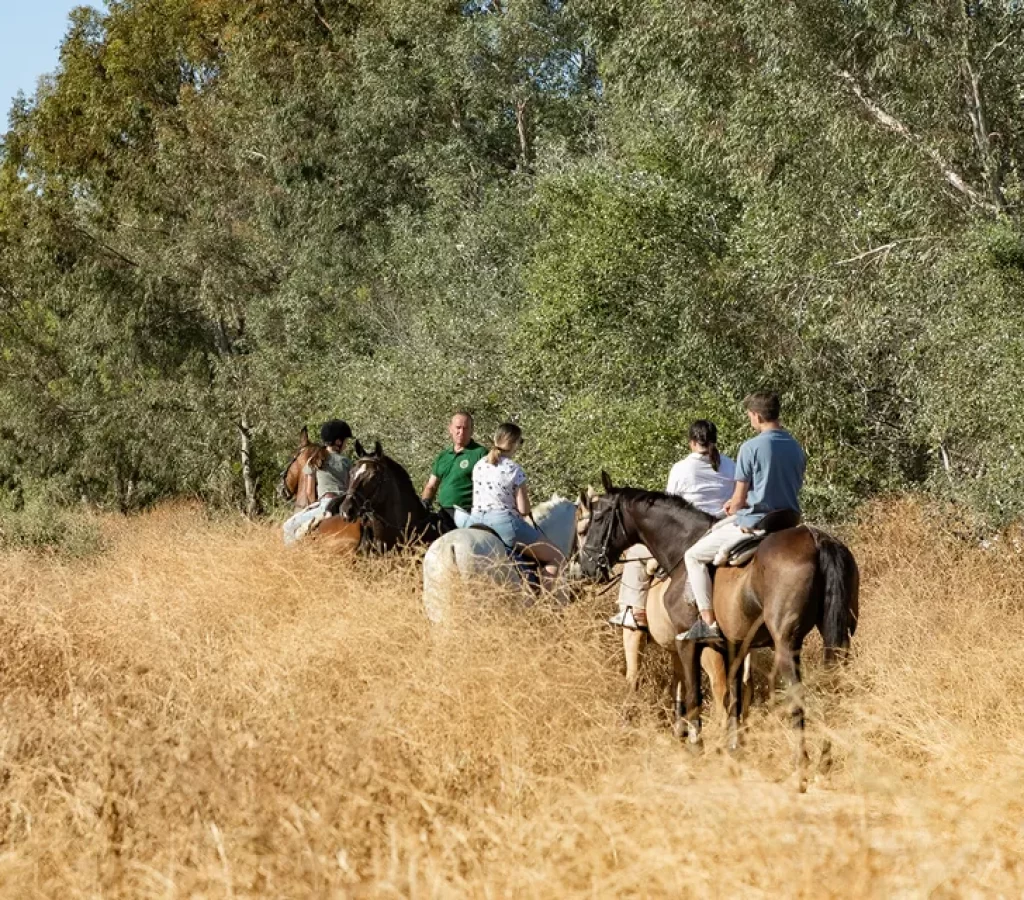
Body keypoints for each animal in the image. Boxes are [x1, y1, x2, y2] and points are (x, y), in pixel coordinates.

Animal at [581, 470, 860, 786]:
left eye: (598, 517)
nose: (587, 566)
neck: (681, 547)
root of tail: (816, 538)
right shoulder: (734, 645)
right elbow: (734, 697)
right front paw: (734, 749)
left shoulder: (687, 642)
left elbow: (694, 695)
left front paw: (696, 747)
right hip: (838, 638)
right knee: (833, 688)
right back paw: (826, 759)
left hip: (786, 643)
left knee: (796, 694)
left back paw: (801, 764)